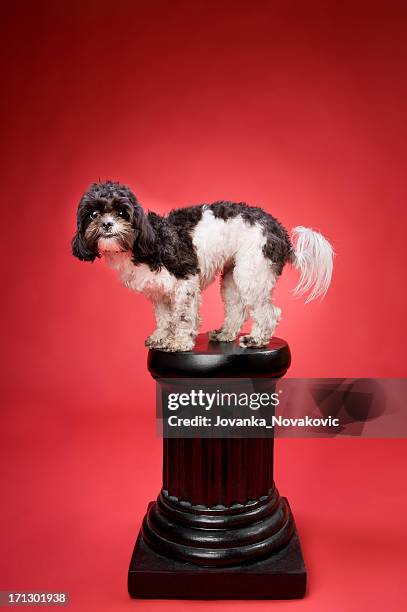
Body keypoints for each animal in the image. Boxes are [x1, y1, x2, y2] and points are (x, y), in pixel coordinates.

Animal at [72, 179, 334, 352]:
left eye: (121, 212)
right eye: (93, 214)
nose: (106, 224)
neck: (144, 242)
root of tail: (280, 233)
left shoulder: (185, 280)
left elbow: (183, 317)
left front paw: (180, 342)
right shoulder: (160, 294)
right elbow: (165, 319)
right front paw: (161, 337)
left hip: (252, 273)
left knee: (269, 312)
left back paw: (256, 340)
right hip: (232, 277)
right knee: (237, 310)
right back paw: (225, 333)